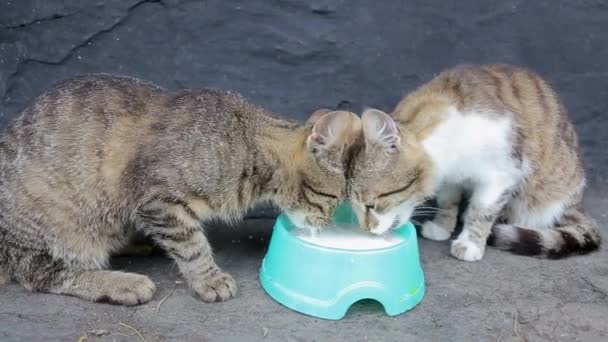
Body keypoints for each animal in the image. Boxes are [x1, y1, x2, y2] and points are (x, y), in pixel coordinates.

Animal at [350, 64, 600, 260]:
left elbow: (480, 211)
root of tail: (575, 205)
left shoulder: (503, 174)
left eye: (372, 204)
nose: (368, 230)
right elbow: (448, 202)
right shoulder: (450, 179)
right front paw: (442, 226)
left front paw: (470, 243)